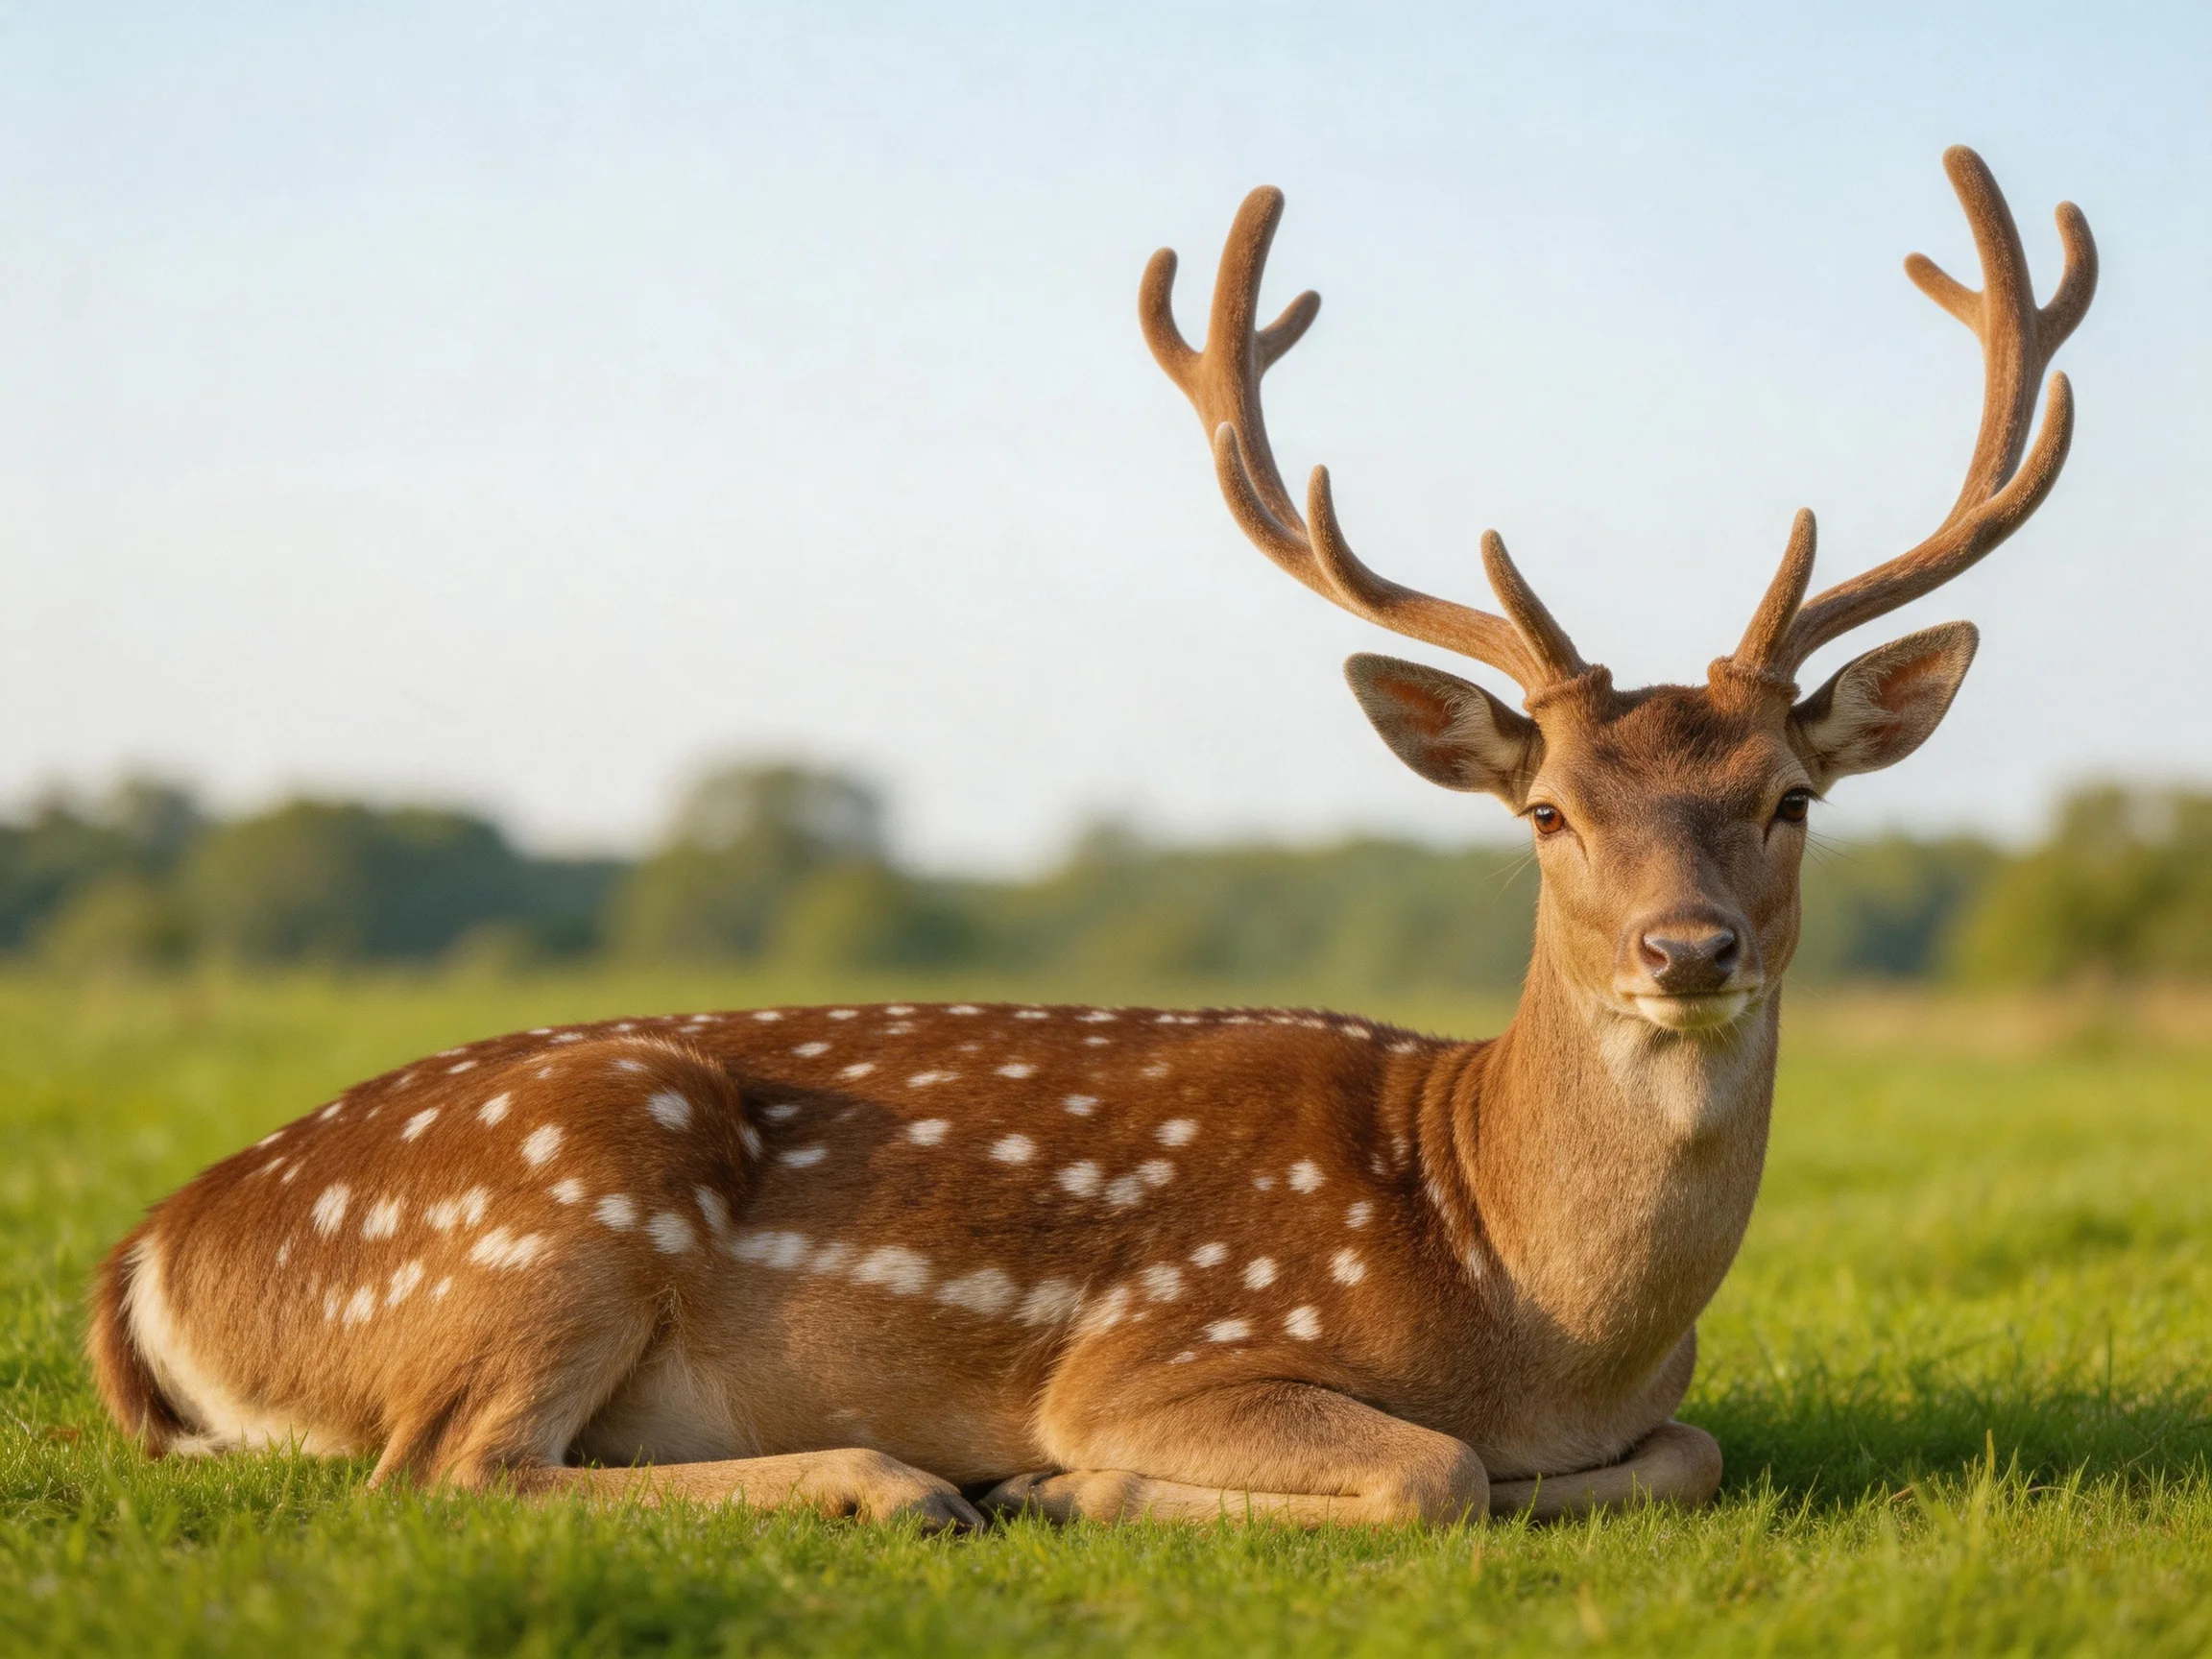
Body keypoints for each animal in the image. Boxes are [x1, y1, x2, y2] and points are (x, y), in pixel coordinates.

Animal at [88, 147, 2093, 1528]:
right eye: (1545, 809)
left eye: (1787, 796)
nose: (1685, 949)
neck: (1520, 1298)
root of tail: (151, 1257)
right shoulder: (1160, 1345)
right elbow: (1429, 1470)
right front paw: (1067, 1484)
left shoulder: (1648, 1407)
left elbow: (1688, 1444)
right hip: (547, 1199)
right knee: (446, 1461)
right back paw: (907, 1481)